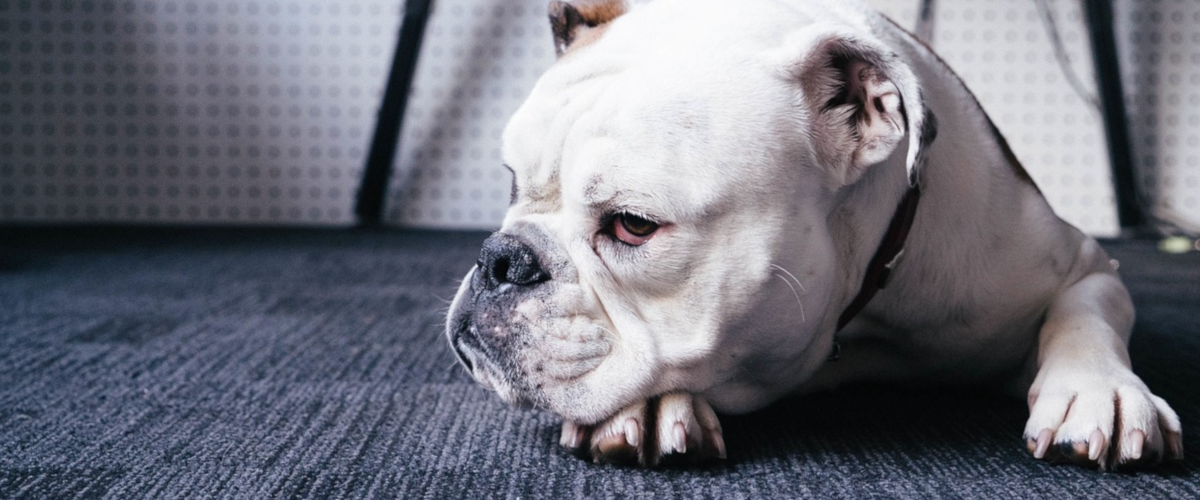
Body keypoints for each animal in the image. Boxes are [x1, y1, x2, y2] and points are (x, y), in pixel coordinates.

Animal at [445, 0, 1182, 470]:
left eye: (633, 225)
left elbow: (1085, 314)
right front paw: (649, 408)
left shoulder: (1083, 265)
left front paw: (1101, 391)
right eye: (512, 185)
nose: (499, 260)